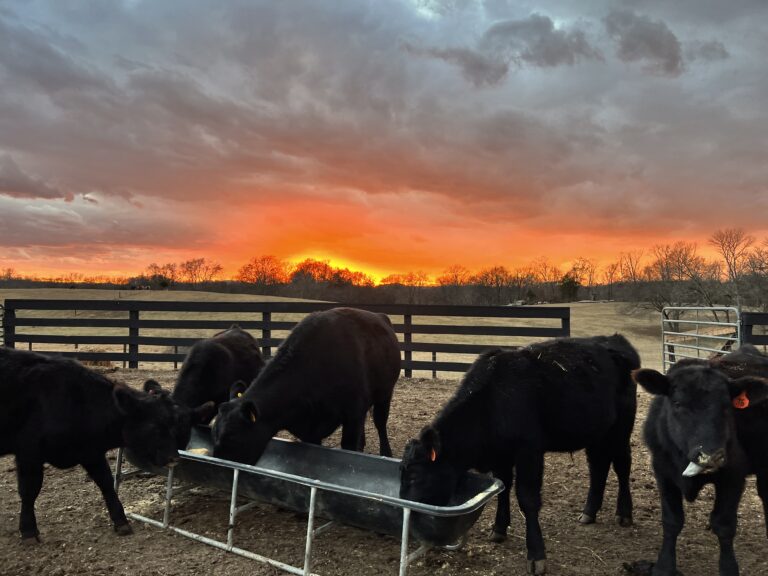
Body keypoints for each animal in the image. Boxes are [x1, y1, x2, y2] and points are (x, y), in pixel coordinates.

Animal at [0, 348, 183, 544]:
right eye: (155, 426)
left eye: (173, 423)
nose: (174, 457)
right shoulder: (29, 453)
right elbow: (29, 491)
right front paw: (29, 531)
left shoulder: (91, 452)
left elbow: (106, 483)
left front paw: (121, 521)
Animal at [212, 306, 402, 464]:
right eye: (213, 433)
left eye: (232, 438)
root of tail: (381, 317)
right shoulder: (311, 428)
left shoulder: (353, 413)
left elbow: (348, 446)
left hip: (385, 394)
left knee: (380, 423)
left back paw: (386, 452)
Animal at [400, 336, 640, 572]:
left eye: (414, 476)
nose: (405, 511)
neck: (492, 401)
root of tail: (615, 340)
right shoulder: (501, 455)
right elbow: (503, 488)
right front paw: (499, 528)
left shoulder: (529, 451)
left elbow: (527, 498)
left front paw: (536, 555)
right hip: (597, 432)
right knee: (598, 466)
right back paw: (589, 512)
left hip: (621, 428)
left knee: (622, 465)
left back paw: (624, 514)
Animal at [640, 348, 768, 572]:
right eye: (677, 403)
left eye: (727, 406)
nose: (711, 455)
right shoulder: (662, 470)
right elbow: (671, 521)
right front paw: (664, 566)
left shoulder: (734, 475)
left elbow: (724, 525)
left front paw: (728, 568)